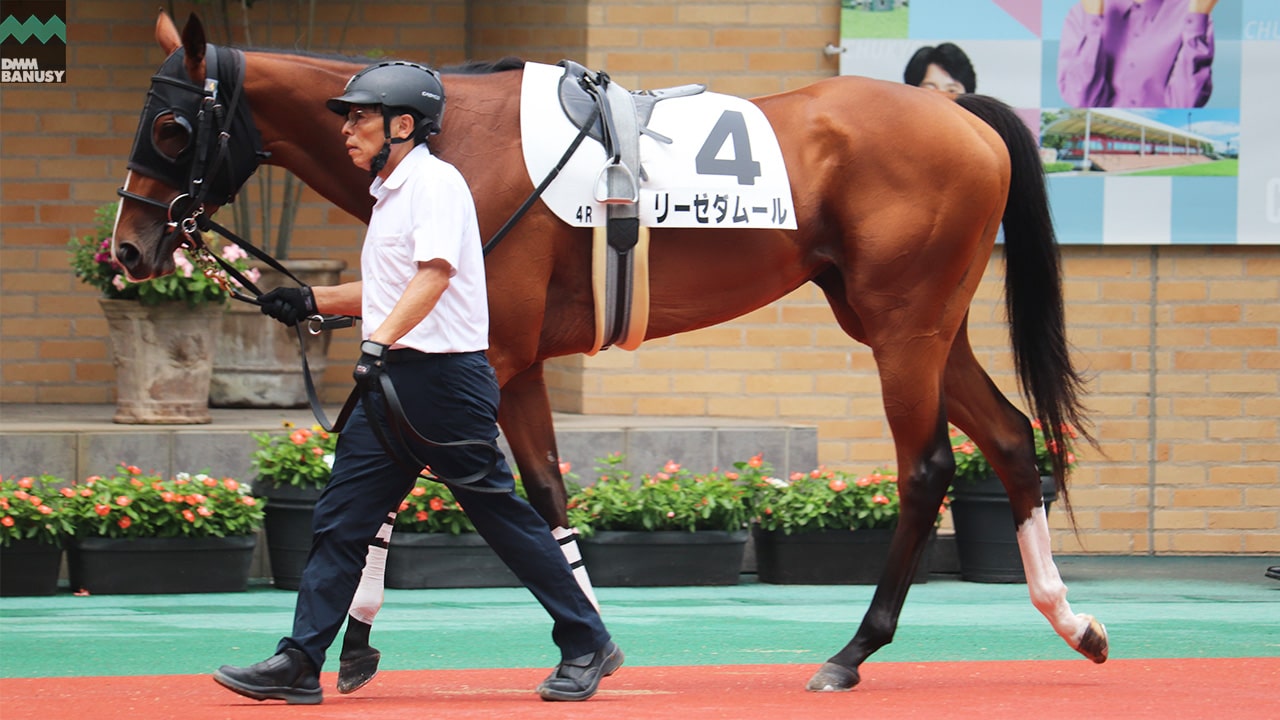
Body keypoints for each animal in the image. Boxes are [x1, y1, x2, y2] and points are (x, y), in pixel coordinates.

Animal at [112, 12, 1111, 691]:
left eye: (170, 128)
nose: (127, 250)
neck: (450, 140)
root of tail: (966, 118)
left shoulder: (484, 356)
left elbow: (417, 488)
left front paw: (354, 645)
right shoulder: (499, 363)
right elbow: (532, 493)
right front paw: (584, 637)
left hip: (903, 326)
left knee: (926, 466)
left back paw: (853, 650)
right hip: (918, 323)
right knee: (1012, 438)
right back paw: (1071, 621)